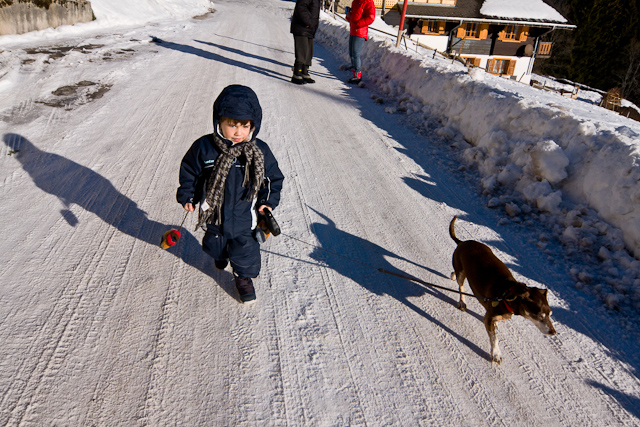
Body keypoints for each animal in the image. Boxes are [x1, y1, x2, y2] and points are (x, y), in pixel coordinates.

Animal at [450, 217, 556, 364]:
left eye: (550, 314)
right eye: (540, 316)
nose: (553, 332)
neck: (507, 293)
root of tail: (462, 243)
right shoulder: (489, 318)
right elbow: (494, 338)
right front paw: (496, 353)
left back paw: (452, 275)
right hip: (461, 272)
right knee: (461, 287)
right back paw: (462, 302)